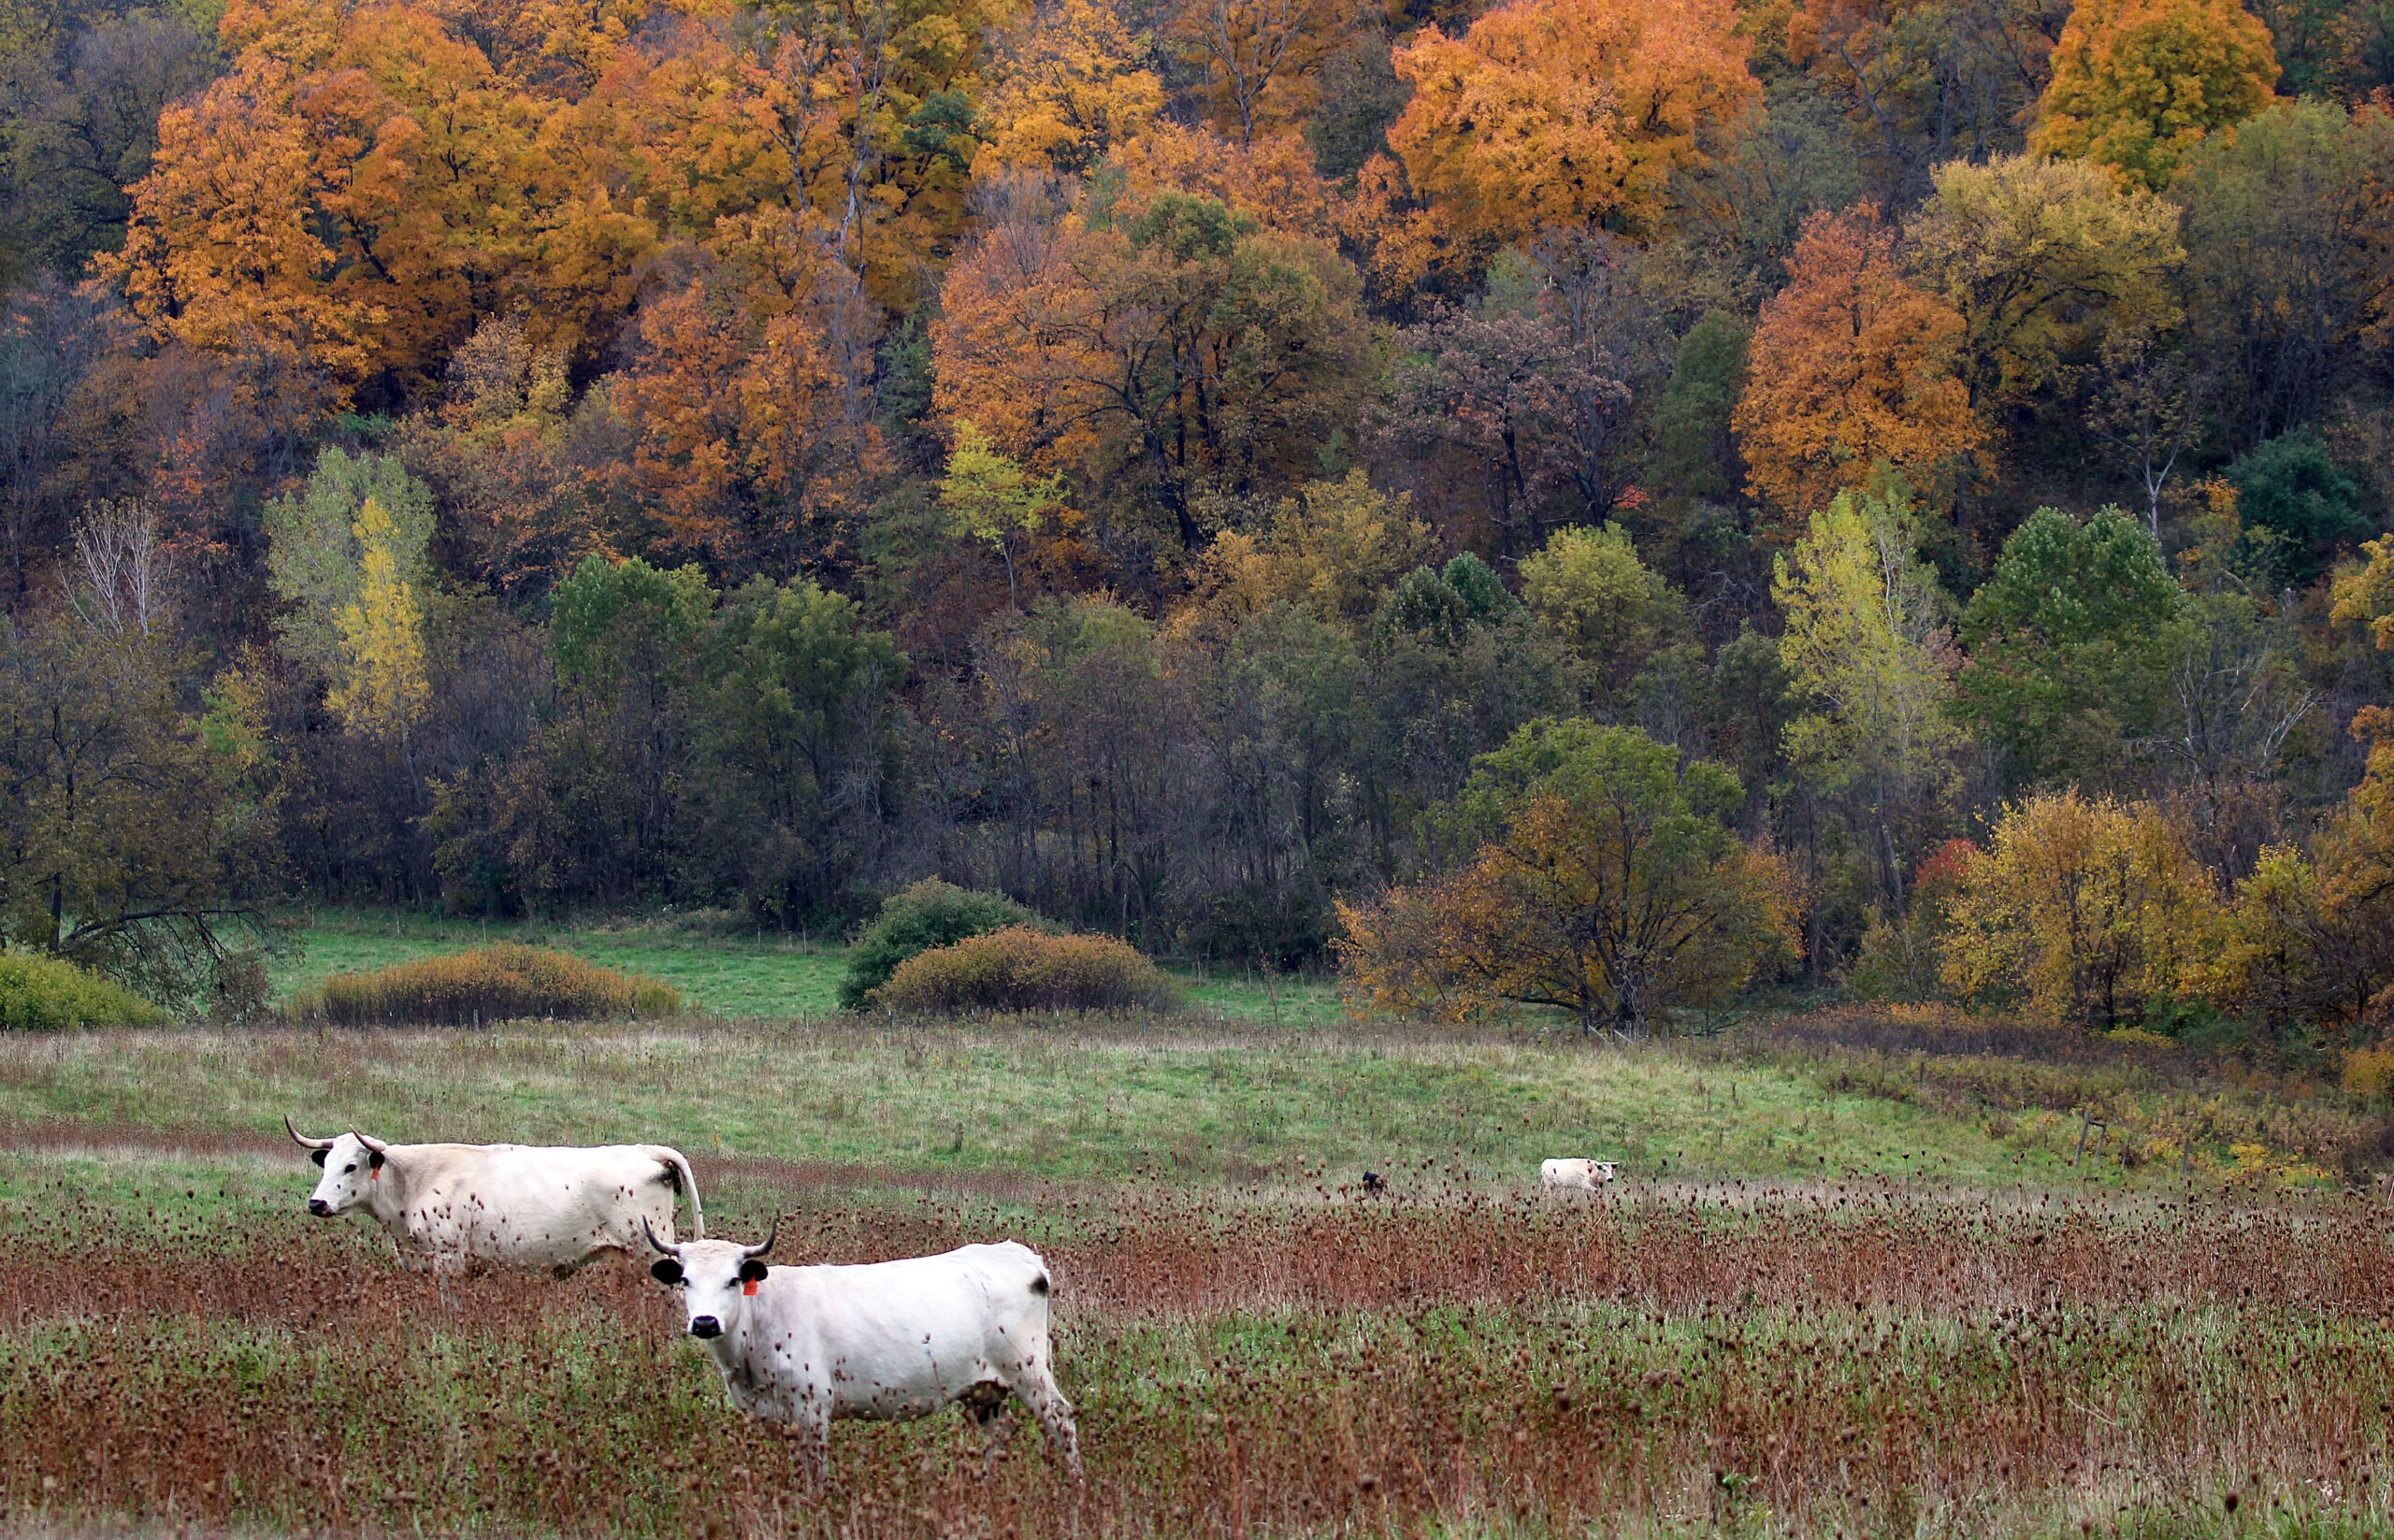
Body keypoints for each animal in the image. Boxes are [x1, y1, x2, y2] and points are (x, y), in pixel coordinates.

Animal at [285, 1120, 699, 1274]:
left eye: (350, 1167)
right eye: (326, 1165)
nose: (316, 1204)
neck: (415, 1181)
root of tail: (645, 1150)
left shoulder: (449, 1258)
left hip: (649, 1252)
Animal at [642, 1216, 1082, 1485]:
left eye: (733, 1280)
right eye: (684, 1280)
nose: (705, 1323)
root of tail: (1014, 1252)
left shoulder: (812, 1407)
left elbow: (816, 1472)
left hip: (1028, 1370)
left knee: (1060, 1419)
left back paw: (1074, 1487)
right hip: (984, 1387)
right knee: (999, 1432)